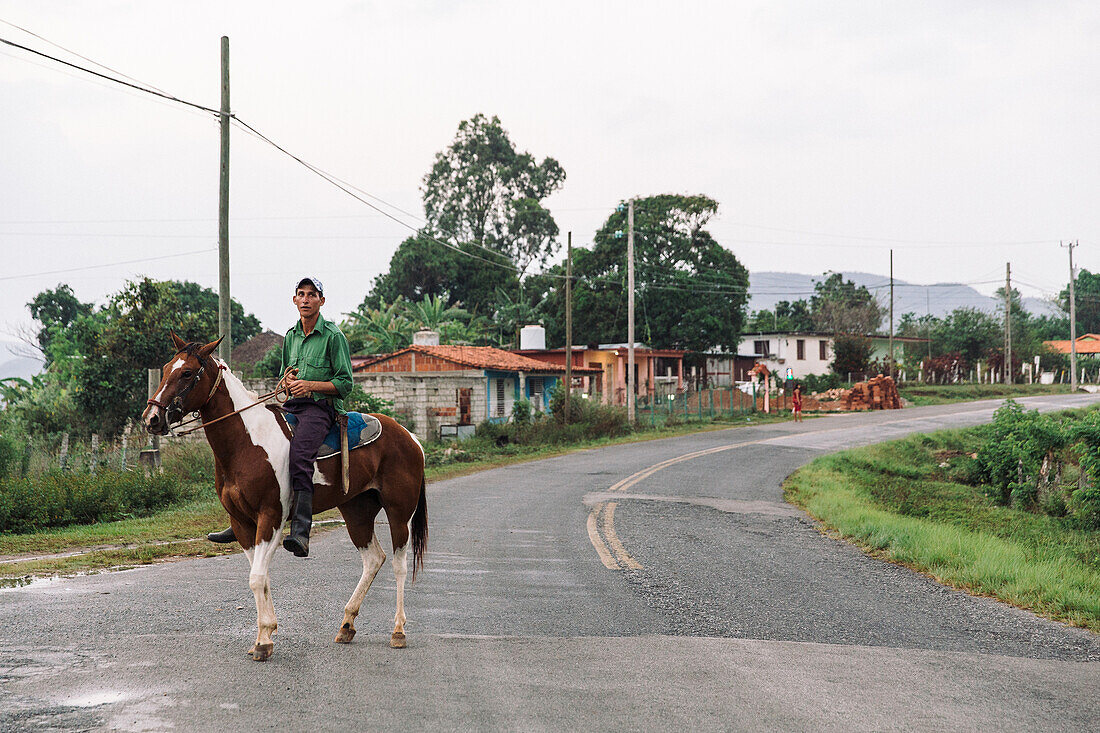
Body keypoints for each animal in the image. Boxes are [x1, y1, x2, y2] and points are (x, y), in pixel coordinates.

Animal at [141, 334, 424, 660]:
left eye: (187, 373)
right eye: (165, 369)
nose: (151, 418)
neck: (246, 443)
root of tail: (409, 436)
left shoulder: (271, 517)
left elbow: (257, 578)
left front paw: (264, 640)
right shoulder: (242, 524)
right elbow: (259, 576)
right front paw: (265, 634)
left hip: (399, 512)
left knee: (399, 564)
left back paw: (398, 631)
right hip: (356, 510)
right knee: (373, 559)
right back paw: (347, 625)